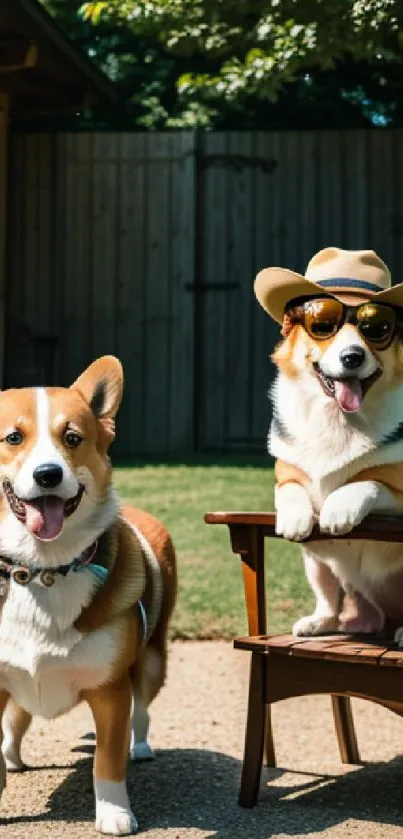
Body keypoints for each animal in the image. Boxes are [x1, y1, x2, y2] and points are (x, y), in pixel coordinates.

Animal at [0, 358, 175, 836]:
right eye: (13, 437)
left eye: (73, 438)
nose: (48, 475)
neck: (41, 569)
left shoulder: (110, 689)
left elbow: (107, 761)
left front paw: (114, 813)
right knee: (15, 721)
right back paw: (13, 756)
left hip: (151, 662)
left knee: (142, 711)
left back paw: (142, 747)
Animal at [254, 246, 403, 648]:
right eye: (322, 323)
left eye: (377, 328)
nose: (352, 356)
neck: (336, 419)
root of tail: (375, 617)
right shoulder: (286, 474)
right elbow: (289, 490)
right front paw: (294, 516)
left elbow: (368, 481)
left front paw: (339, 508)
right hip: (317, 562)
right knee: (331, 599)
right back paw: (321, 622)